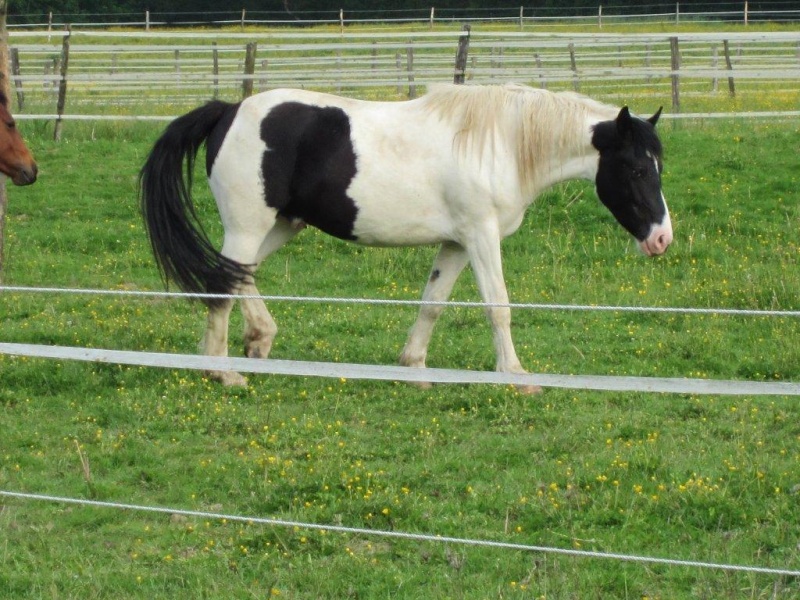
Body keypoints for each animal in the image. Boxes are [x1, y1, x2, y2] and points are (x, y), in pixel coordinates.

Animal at [141, 83, 672, 390]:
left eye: (656, 166)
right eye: (637, 168)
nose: (662, 239)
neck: (500, 142)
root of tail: (229, 111)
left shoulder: (457, 242)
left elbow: (432, 303)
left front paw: (415, 368)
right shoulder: (481, 236)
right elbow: (498, 306)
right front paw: (517, 376)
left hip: (279, 225)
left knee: (237, 274)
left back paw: (257, 342)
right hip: (249, 225)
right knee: (221, 284)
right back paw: (223, 371)